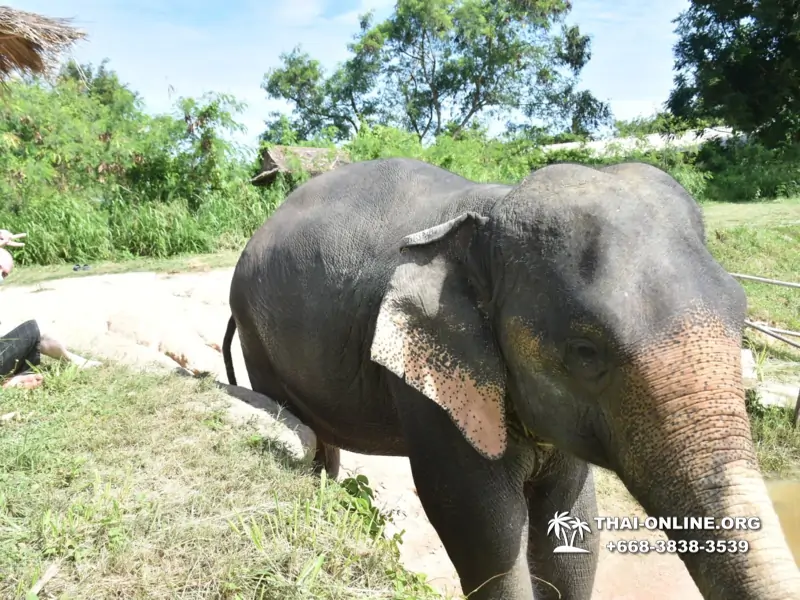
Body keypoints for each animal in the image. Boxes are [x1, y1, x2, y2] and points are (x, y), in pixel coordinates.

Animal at [222, 157, 800, 600]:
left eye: (741, 314)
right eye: (586, 352)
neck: (485, 217)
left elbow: (574, 528)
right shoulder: (428, 385)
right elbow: (484, 530)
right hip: (255, 333)